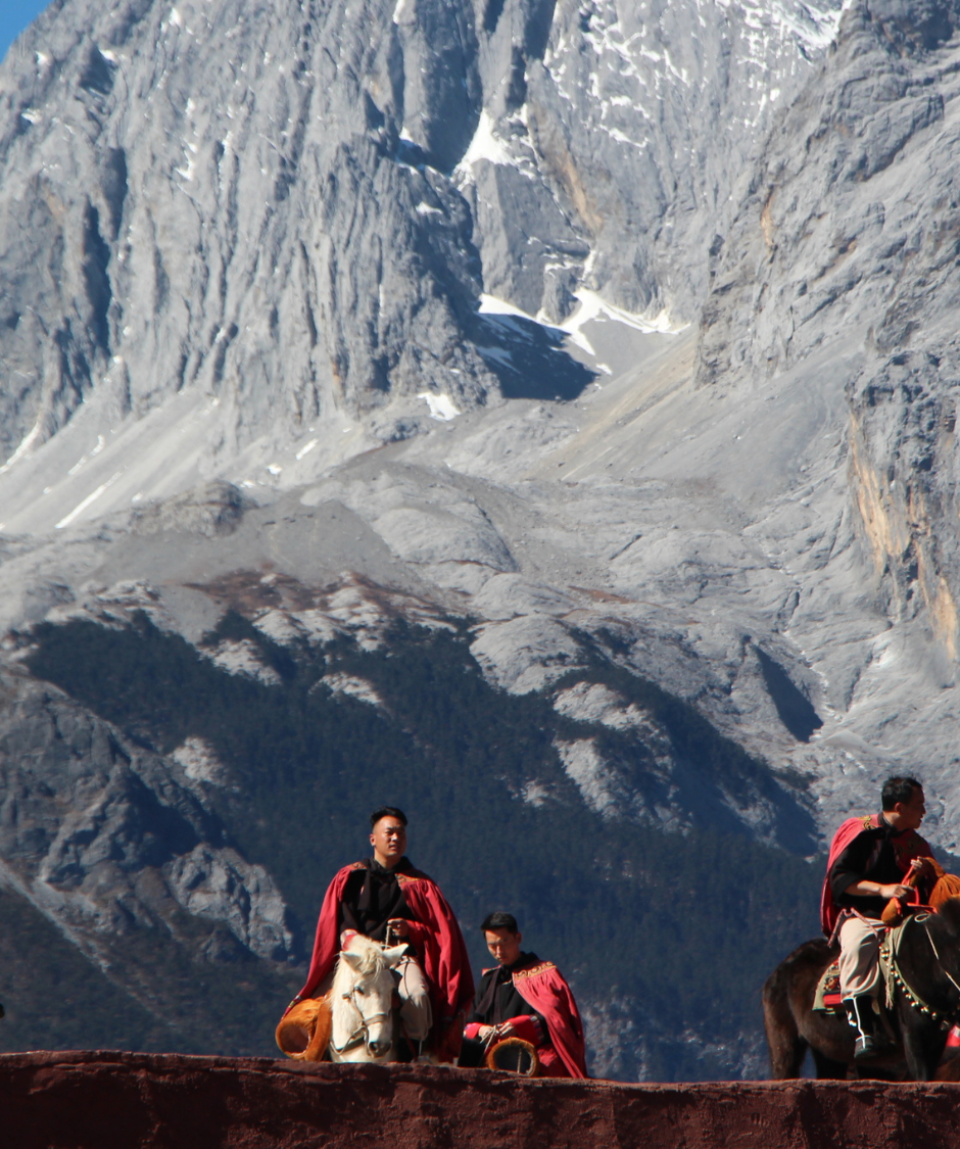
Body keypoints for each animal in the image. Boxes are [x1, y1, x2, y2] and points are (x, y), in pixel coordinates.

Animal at [767, 900, 960, 1080]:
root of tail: (779, 970)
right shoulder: (914, 1033)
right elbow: (921, 1077)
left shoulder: (936, 1041)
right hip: (785, 1045)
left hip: (827, 1052)